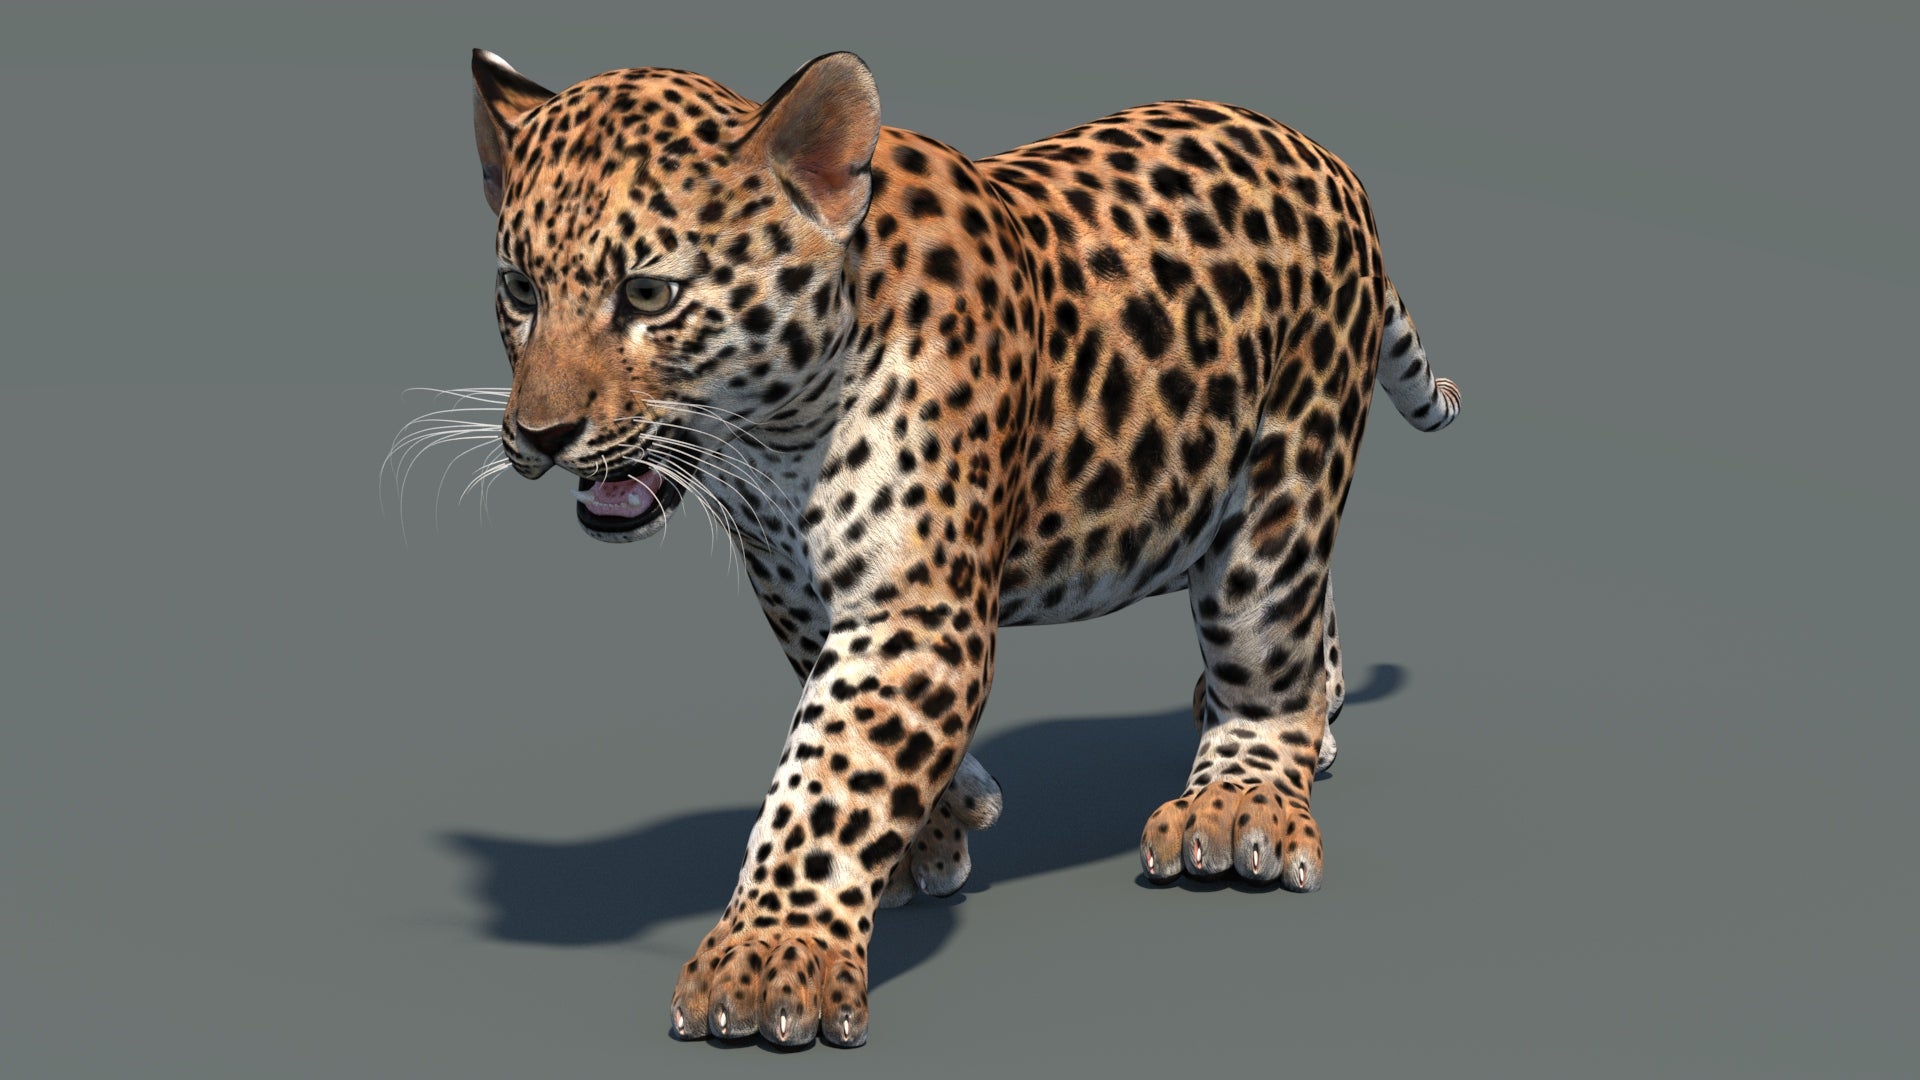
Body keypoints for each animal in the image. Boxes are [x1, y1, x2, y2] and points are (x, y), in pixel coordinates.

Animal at [461, 47, 1461, 1049]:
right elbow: (851, 730)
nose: (539, 435)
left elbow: (830, 774)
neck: (775, 442)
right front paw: (939, 828)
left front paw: (772, 955)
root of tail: (1320, 153)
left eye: (648, 294)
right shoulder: (797, 591)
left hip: (1283, 473)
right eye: (520, 291)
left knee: (1268, 632)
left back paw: (1243, 797)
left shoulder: (916, 610)